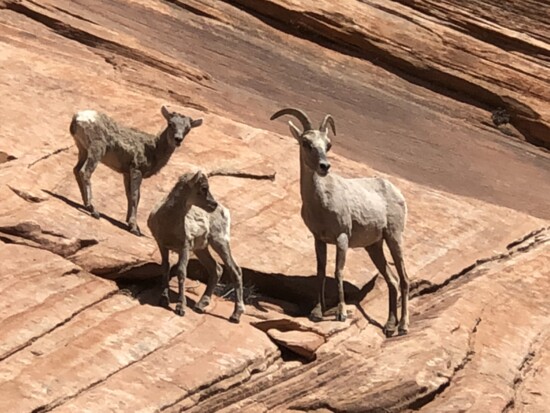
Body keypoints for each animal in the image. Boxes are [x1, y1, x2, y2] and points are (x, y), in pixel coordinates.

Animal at [69, 104, 203, 235]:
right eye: (171, 123)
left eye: (187, 128)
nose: (178, 139)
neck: (154, 150)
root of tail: (77, 117)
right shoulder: (136, 170)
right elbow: (135, 196)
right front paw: (134, 228)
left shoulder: (127, 173)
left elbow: (129, 195)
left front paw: (131, 224)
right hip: (97, 149)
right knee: (85, 172)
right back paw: (93, 209)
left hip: (83, 150)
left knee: (76, 170)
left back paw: (84, 203)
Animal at [270, 107, 410, 334]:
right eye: (306, 143)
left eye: (328, 145)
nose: (324, 166)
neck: (321, 202)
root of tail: (397, 192)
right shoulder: (319, 239)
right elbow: (320, 271)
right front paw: (317, 313)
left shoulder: (342, 238)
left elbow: (338, 271)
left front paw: (341, 314)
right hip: (374, 246)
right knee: (392, 280)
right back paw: (389, 327)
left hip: (393, 237)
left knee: (404, 279)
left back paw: (404, 326)